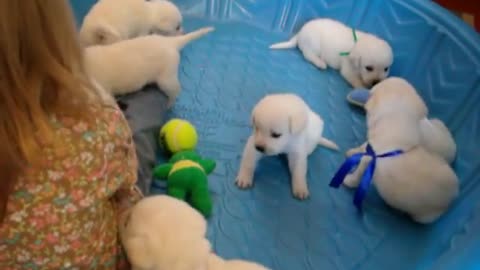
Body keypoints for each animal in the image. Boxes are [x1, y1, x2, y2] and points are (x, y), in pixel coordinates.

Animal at [344, 77, 460, 224]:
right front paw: (353, 151)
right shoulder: (371, 143)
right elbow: (364, 146)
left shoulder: (370, 159)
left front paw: (349, 180)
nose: (375, 83)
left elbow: (358, 172)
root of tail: (455, 193)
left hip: (424, 216)